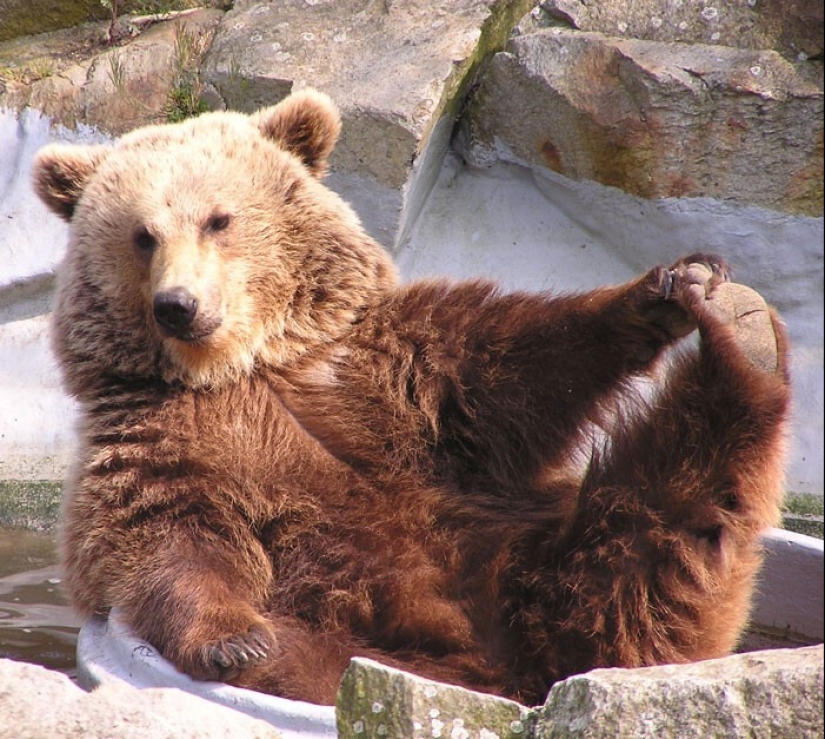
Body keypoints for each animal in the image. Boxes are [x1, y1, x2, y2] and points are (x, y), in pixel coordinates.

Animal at [33, 88, 791, 707]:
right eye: (143, 234)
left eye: (218, 220)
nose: (178, 305)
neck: (245, 364)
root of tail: (517, 680)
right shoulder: (162, 438)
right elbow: (174, 540)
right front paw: (234, 637)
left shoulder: (391, 372)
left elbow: (522, 363)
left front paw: (667, 286)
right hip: (369, 642)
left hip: (534, 564)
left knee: (651, 528)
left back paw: (741, 334)